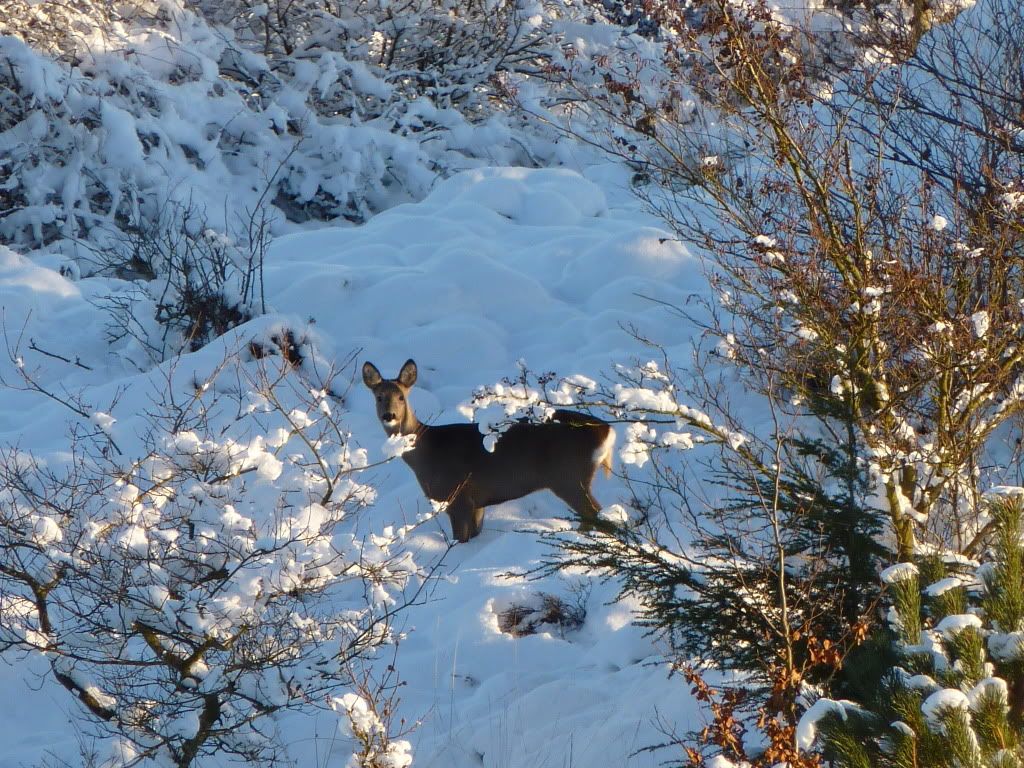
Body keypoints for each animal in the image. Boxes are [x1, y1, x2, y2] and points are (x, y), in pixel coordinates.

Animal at [362, 359, 615, 542]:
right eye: (379, 397)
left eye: (401, 396)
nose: (389, 416)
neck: (426, 453)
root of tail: (607, 431)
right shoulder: (477, 502)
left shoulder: (458, 497)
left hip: (569, 477)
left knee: (600, 517)